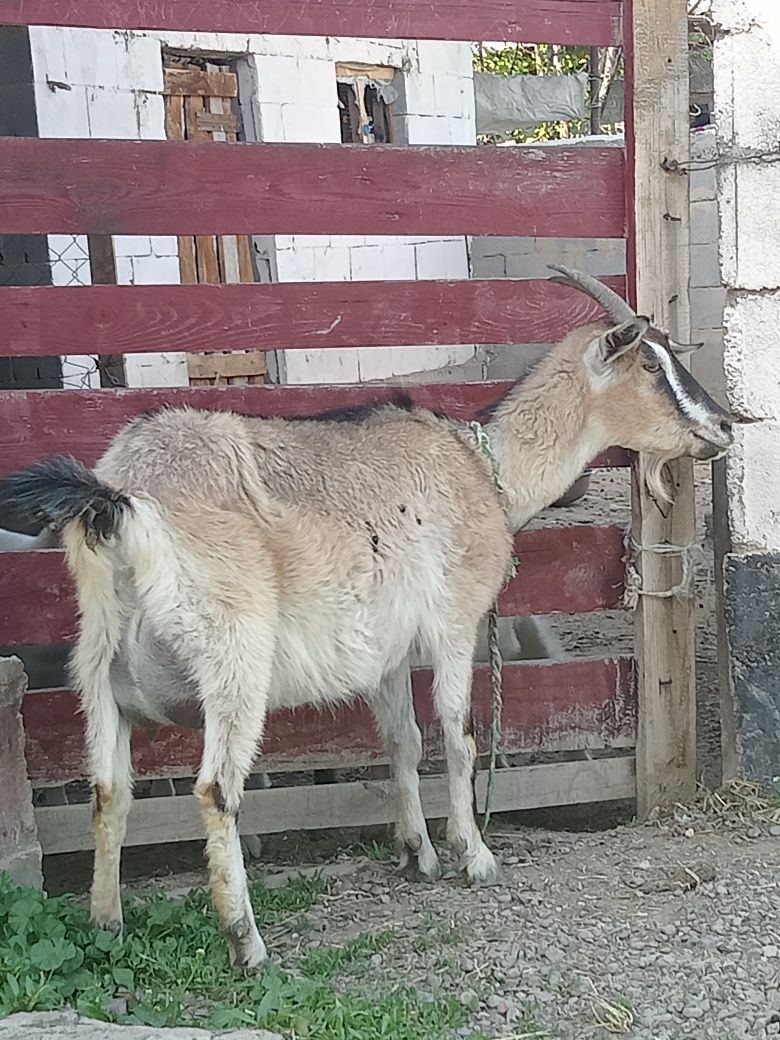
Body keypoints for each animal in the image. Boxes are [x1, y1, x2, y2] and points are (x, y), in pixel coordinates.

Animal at [0, 266, 732, 965]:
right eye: (651, 366)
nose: (724, 425)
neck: (482, 468)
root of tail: (120, 502)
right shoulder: (454, 620)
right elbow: (458, 737)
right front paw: (475, 856)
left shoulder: (386, 645)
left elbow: (401, 741)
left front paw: (417, 854)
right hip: (233, 653)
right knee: (215, 789)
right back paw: (247, 942)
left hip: (98, 664)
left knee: (107, 787)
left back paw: (108, 924)